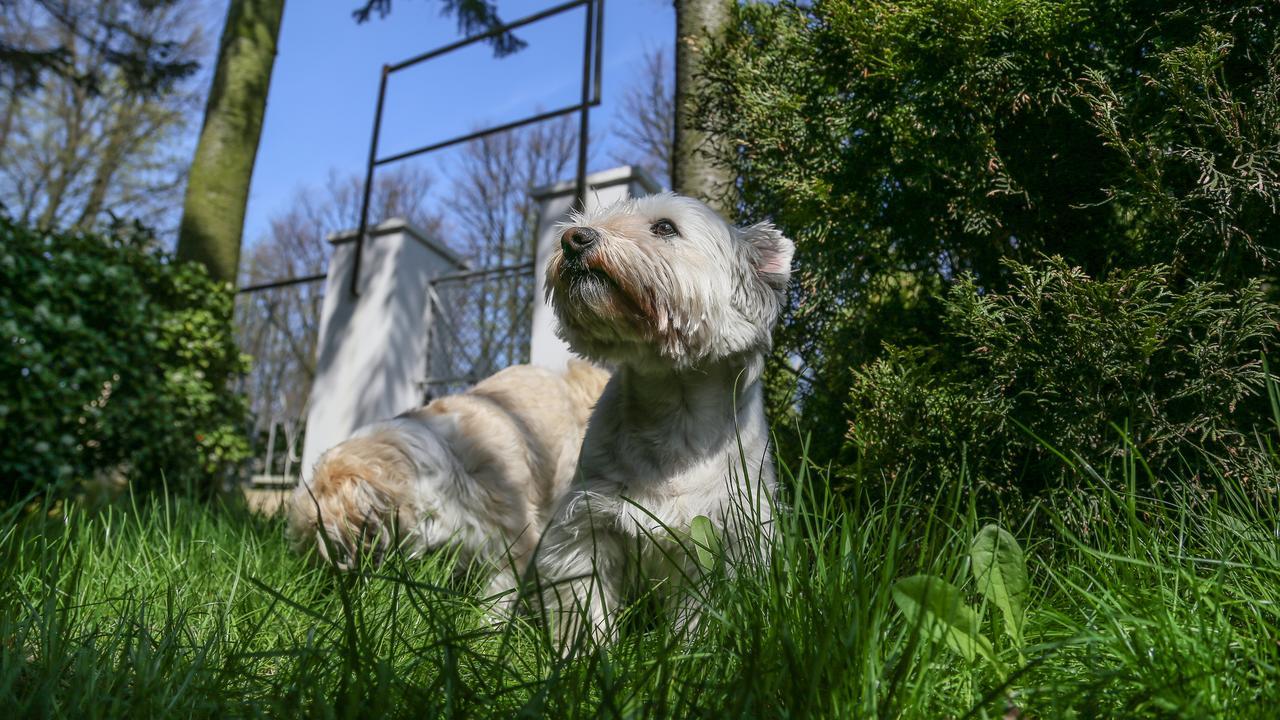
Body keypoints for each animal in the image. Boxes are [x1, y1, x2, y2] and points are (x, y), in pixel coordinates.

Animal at [529, 190, 788, 645]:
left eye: (665, 227)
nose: (573, 239)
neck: (673, 411)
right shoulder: (585, 526)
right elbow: (585, 603)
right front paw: (589, 653)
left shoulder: (718, 539)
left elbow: (696, 616)